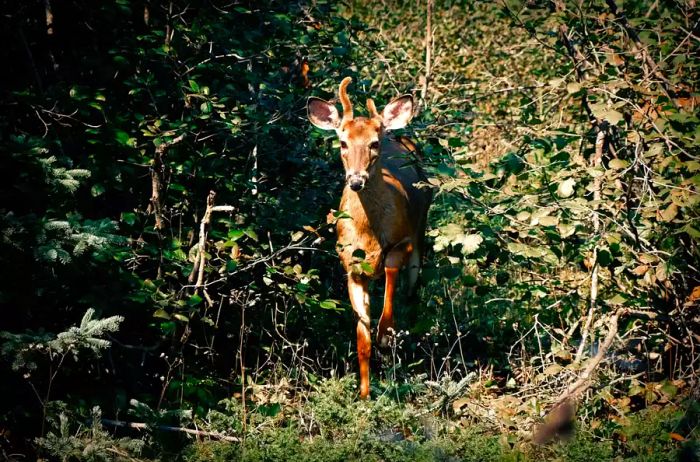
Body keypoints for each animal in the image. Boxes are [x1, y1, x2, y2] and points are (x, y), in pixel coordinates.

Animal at [308, 77, 432, 398]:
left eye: (373, 144)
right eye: (342, 142)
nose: (356, 180)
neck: (369, 235)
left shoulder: (401, 242)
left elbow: (390, 273)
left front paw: (386, 334)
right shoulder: (349, 264)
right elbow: (361, 339)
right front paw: (364, 393)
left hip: (421, 229)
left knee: (412, 287)